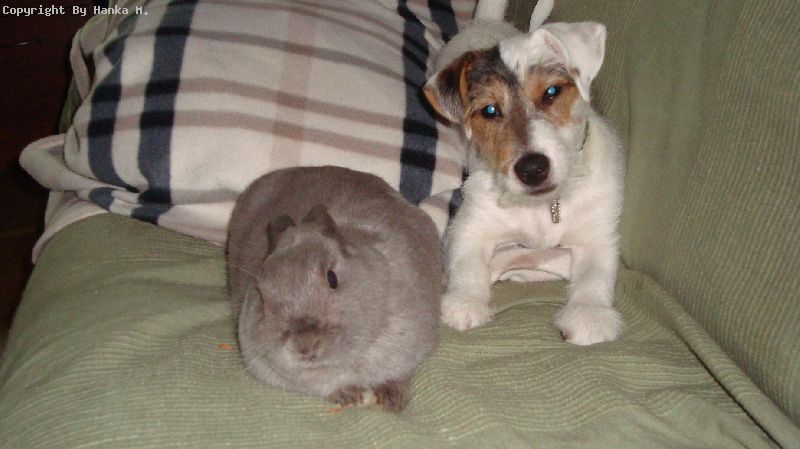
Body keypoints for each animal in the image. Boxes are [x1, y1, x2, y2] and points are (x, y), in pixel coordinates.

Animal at [226, 166, 442, 412]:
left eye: (332, 278)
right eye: (262, 297)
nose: (306, 347)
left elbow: (401, 375)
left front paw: (391, 398)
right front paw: (350, 396)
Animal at [423, 0, 624, 345]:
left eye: (552, 92)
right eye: (490, 110)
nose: (532, 169)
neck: (543, 206)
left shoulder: (597, 236)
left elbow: (595, 275)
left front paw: (589, 315)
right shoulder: (471, 226)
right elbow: (469, 266)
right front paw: (464, 302)